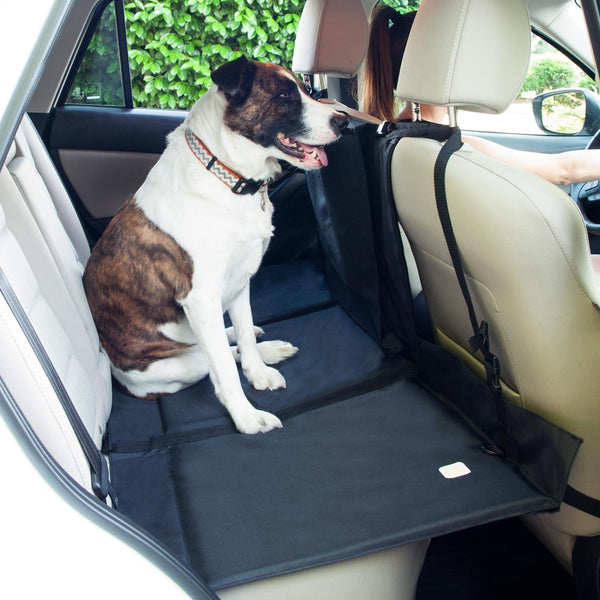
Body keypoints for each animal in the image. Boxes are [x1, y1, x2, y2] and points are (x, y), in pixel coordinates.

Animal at [83, 56, 346, 434]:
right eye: (284, 95)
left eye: (307, 90)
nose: (344, 121)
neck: (226, 172)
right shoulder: (202, 298)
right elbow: (224, 371)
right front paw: (248, 417)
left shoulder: (240, 278)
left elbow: (246, 339)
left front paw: (259, 372)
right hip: (176, 364)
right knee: (210, 359)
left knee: (229, 341)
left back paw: (264, 345)